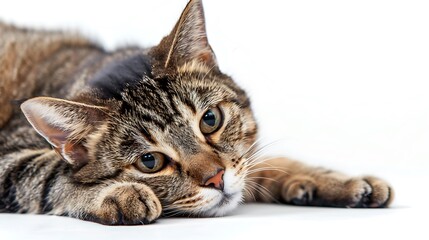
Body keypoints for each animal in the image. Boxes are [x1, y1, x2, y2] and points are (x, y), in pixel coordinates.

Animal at [0, 0, 392, 225]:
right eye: (150, 162)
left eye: (210, 120)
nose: (216, 178)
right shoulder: (9, 158)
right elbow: (53, 174)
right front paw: (115, 193)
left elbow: (268, 163)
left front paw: (335, 180)